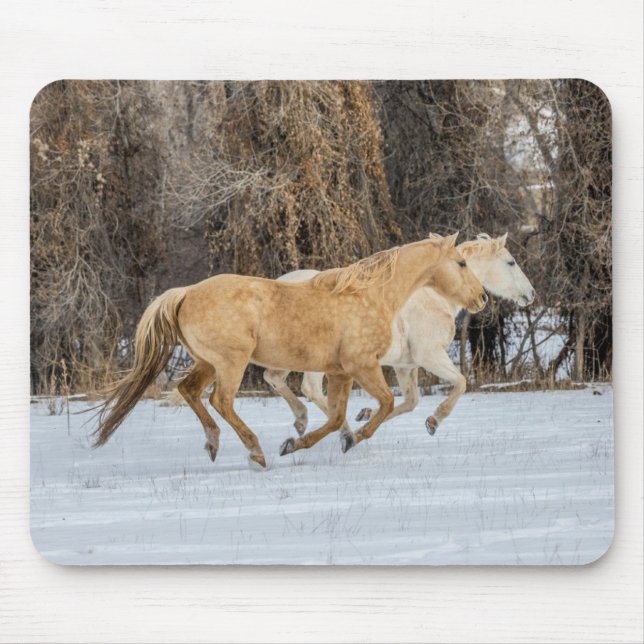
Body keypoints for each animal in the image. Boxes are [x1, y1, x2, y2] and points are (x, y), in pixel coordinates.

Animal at [93, 232, 488, 468]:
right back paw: (255, 452)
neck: (371, 296)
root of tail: (186, 292)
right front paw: (352, 438)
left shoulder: (341, 372)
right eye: (461, 263)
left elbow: (335, 417)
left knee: (188, 390)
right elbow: (386, 404)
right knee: (221, 400)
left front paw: (303, 443)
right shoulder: (363, 366)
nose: (482, 298)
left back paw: (213, 444)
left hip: (207, 361)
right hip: (231, 362)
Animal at [263, 233, 535, 437]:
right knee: (309, 388)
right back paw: (339, 429)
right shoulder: (429, 356)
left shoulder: (406, 365)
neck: (434, 297)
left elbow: (409, 402)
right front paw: (433, 421)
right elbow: (460, 382)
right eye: (511, 262)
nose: (531, 294)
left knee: (274, 378)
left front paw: (365, 415)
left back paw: (306, 423)